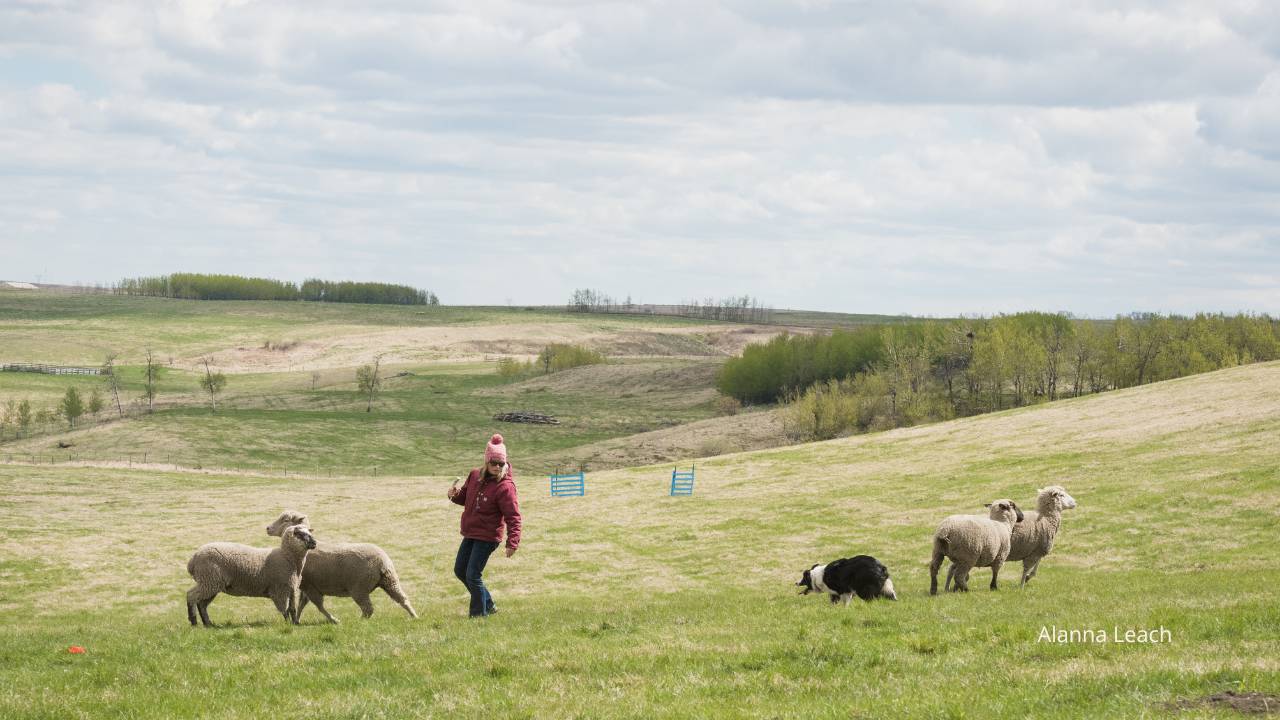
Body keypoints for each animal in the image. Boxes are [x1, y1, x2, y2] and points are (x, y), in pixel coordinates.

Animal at [186, 524, 317, 627]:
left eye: (309, 532)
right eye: (300, 534)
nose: (314, 542)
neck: (288, 558)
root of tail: (192, 560)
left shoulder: (291, 588)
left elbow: (292, 609)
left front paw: (295, 623)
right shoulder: (279, 590)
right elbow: (284, 610)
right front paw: (288, 624)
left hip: (211, 583)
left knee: (202, 604)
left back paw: (208, 623)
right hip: (208, 580)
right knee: (191, 596)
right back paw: (194, 622)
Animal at [266, 510, 417, 623]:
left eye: (285, 520)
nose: (268, 528)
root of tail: (382, 562)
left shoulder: (310, 586)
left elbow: (316, 605)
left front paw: (333, 620)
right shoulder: (308, 585)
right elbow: (302, 604)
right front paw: (297, 620)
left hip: (359, 588)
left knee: (368, 609)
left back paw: (358, 621)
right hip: (390, 580)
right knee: (402, 598)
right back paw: (414, 616)